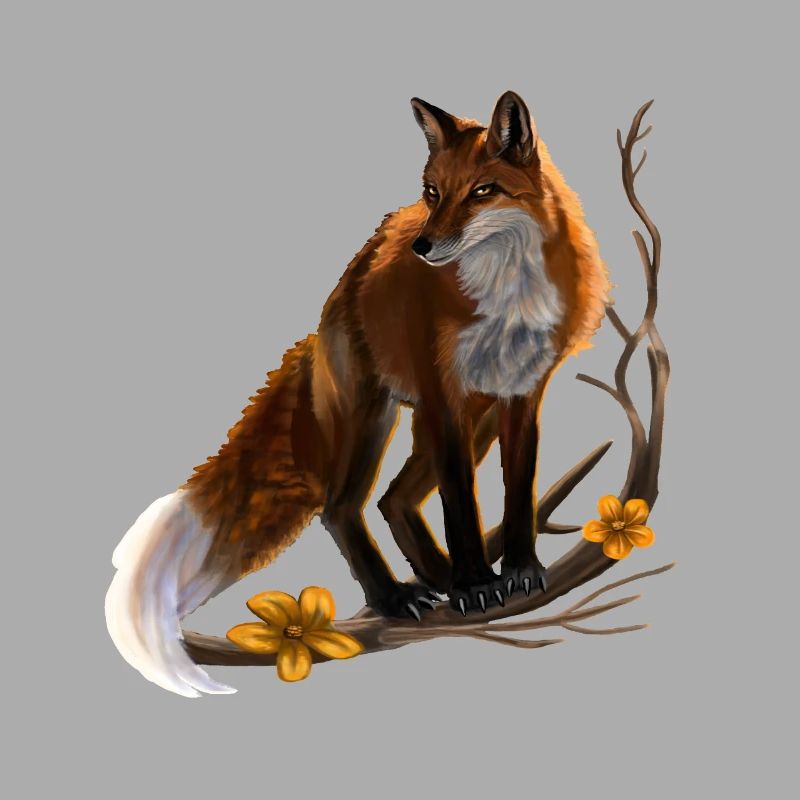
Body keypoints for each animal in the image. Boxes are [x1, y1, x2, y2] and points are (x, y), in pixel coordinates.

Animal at [105, 91, 610, 696]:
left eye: (483, 191)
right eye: (433, 192)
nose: (422, 246)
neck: (506, 295)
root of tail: (338, 296)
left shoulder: (521, 395)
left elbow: (517, 493)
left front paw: (518, 572)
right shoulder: (444, 396)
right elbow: (461, 505)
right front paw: (473, 585)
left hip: (470, 418)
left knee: (393, 499)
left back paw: (435, 578)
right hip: (376, 418)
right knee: (341, 508)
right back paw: (395, 596)